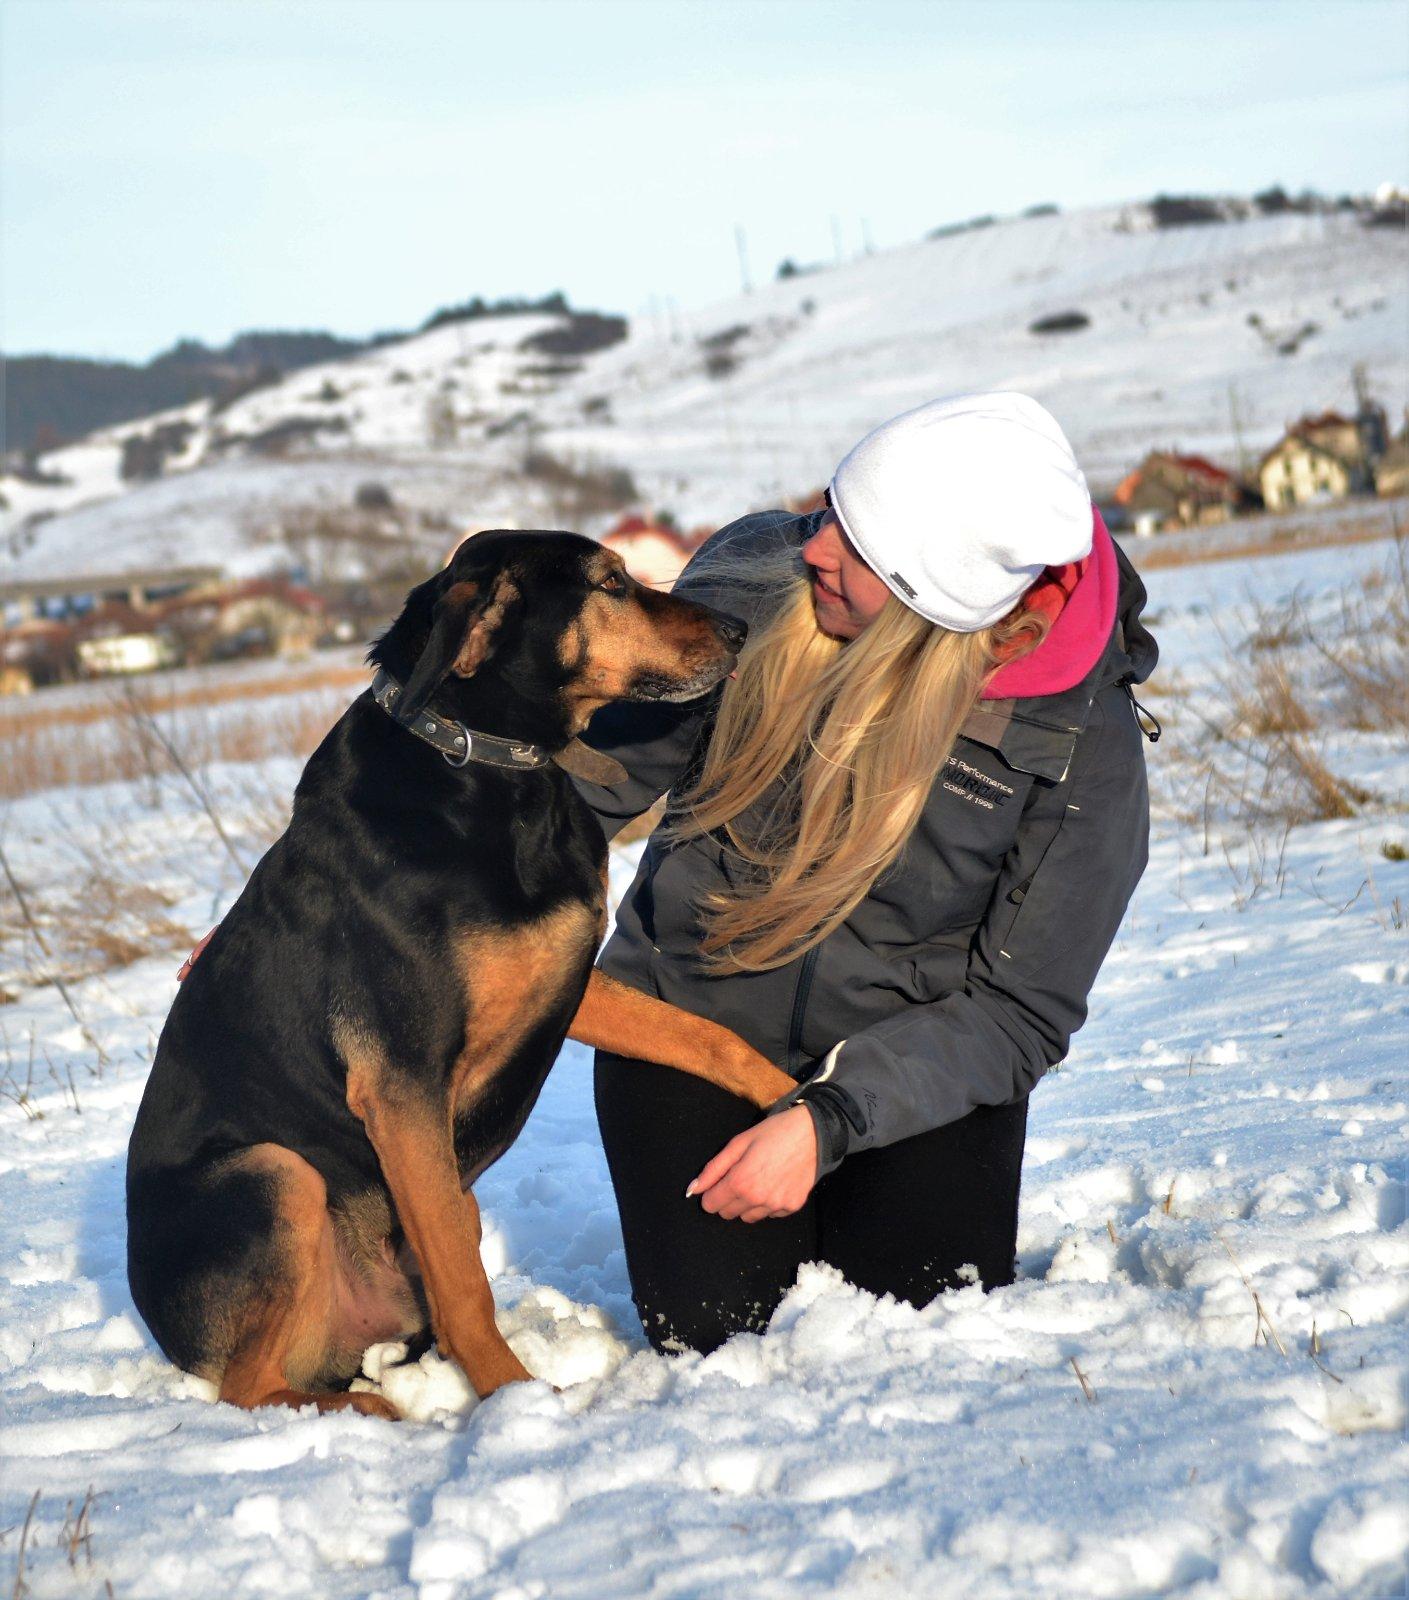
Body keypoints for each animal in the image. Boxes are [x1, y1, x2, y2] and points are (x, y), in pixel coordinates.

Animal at [126, 529, 795, 1418]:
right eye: (610, 583)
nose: (737, 629)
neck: (483, 763)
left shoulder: (565, 984)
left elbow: (705, 1036)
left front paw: (793, 1101)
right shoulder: (401, 1080)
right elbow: (461, 1284)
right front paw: (517, 1397)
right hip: (275, 1173)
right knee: (248, 1387)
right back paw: (371, 1411)